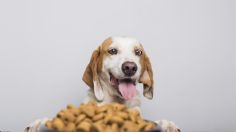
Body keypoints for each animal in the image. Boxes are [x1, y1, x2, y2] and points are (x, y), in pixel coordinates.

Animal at [24, 36, 181, 132]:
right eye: (112, 51)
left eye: (138, 52)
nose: (130, 67)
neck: (116, 101)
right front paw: (37, 123)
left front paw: (168, 124)